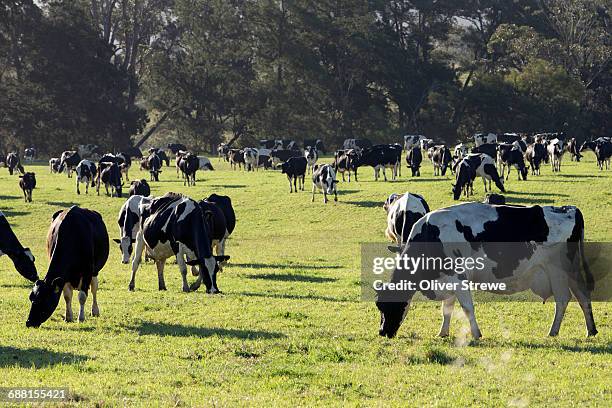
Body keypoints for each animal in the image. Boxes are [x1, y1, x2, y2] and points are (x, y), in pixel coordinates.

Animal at [378, 202, 596, 340]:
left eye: (385, 306)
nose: (382, 332)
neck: (431, 236)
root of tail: (569, 209)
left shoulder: (459, 277)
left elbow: (467, 307)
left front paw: (476, 334)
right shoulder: (448, 278)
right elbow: (447, 309)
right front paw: (442, 333)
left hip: (557, 271)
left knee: (563, 300)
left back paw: (553, 331)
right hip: (572, 272)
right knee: (583, 296)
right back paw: (591, 330)